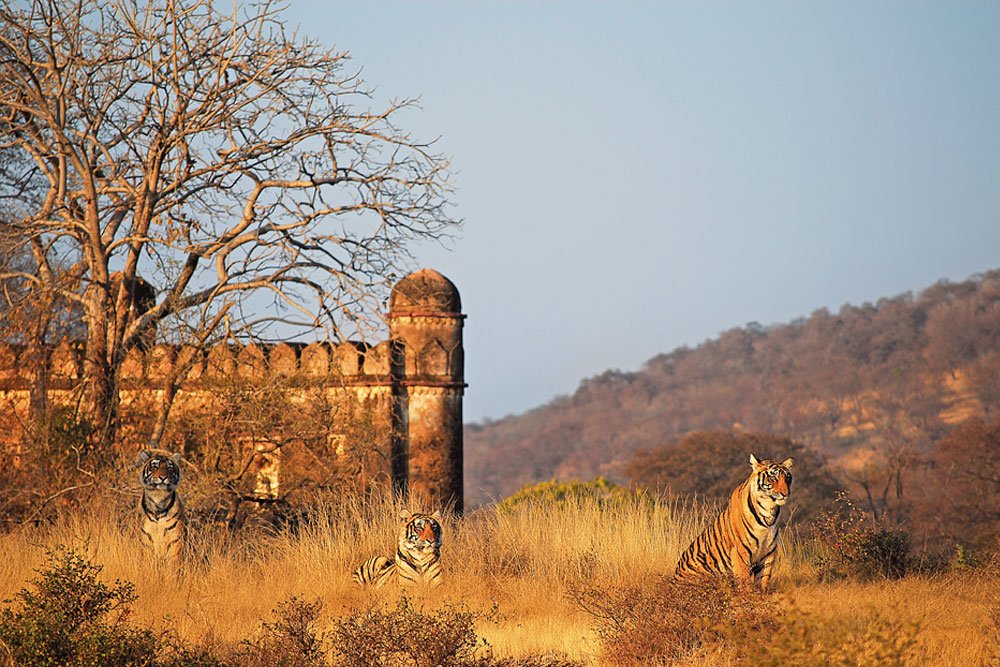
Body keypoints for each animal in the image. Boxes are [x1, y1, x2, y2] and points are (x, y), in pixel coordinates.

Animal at [672, 454, 796, 588]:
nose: (785, 494)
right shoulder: (740, 552)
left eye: (787, 478)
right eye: (773, 477)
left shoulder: (768, 553)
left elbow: (763, 581)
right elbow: (745, 582)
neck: (769, 510)